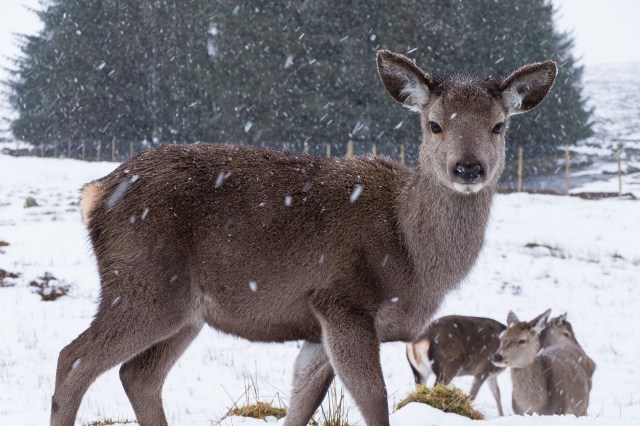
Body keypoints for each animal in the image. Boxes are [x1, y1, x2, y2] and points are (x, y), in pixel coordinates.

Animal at [50, 50, 557, 426]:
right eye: (434, 123)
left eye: (499, 125)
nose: (468, 168)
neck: (415, 261)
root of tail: (94, 193)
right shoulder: (343, 300)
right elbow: (374, 401)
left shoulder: (316, 326)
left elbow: (302, 404)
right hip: (143, 284)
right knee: (73, 359)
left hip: (185, 310)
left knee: (138, 374)